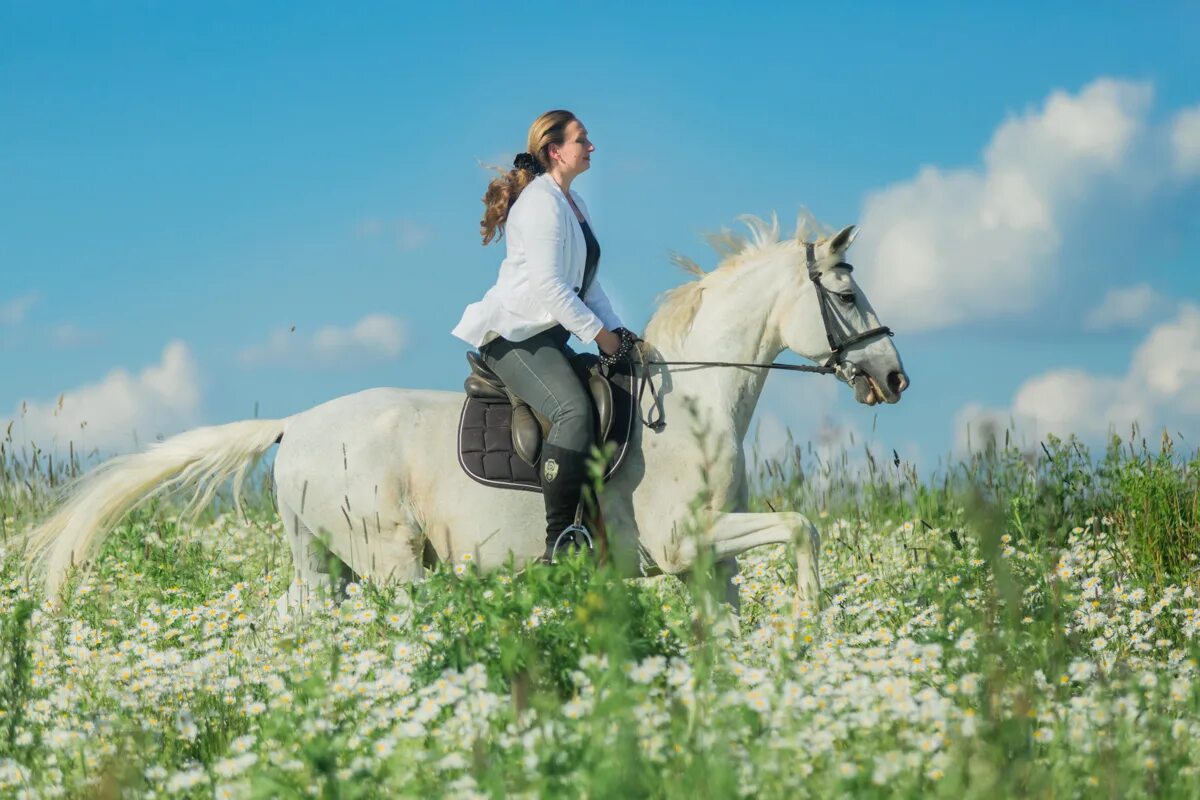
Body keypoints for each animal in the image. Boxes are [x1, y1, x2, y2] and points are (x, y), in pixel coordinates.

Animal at [23, 215, 907, 618]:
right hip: (388, 563)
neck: (696, 407)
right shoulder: (682, 541)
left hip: (320, 566)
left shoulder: (707, 560)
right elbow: (803, 526)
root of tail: (294, 425)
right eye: (847, 292)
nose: (894, 377)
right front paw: (812, 617)